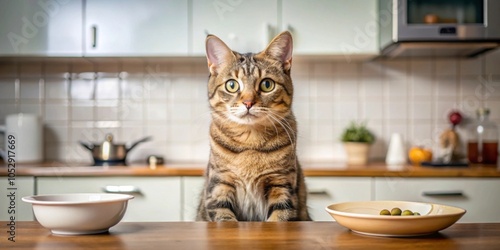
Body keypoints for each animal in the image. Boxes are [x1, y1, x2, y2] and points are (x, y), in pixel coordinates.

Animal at [195, 31, 308, 221]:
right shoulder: (219, 186)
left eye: (267, 84)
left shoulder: (281, 185)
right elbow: (224, 219)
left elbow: (279, 219)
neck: (250, 141)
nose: (248, 102)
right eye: (232, 85)